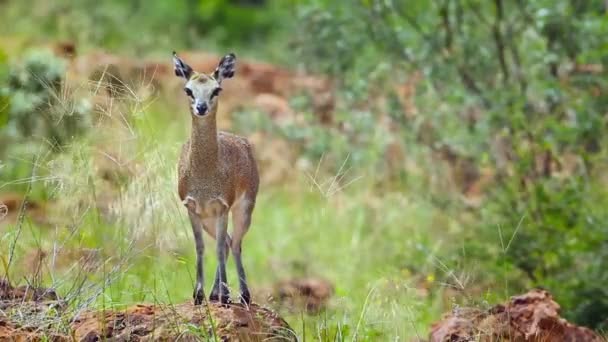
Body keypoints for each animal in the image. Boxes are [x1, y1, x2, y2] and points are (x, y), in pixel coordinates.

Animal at [175, 51, 260, 304]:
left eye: (217, 89)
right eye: (188, 89)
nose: (201, 107)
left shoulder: (222, 206)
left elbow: (219, 248)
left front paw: (224, 296)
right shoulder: (193, 208)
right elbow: (201, 248)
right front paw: (198, 294)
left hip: (243, 209)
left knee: (235, 244)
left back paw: (242, 295)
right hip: (208, 219)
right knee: (228, 242)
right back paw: (216, 293)